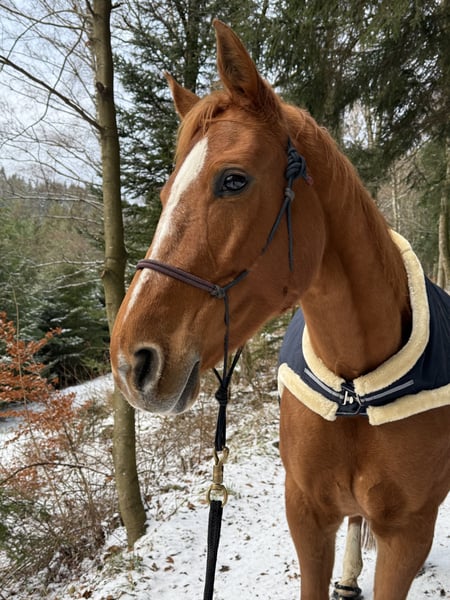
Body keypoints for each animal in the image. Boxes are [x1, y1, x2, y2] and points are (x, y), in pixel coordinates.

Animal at [110, 20, 450, 600]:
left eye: (233, 180)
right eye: (162, 194)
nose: (132, 361)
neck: (354, 389)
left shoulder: (407, 537)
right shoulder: (306, 519)